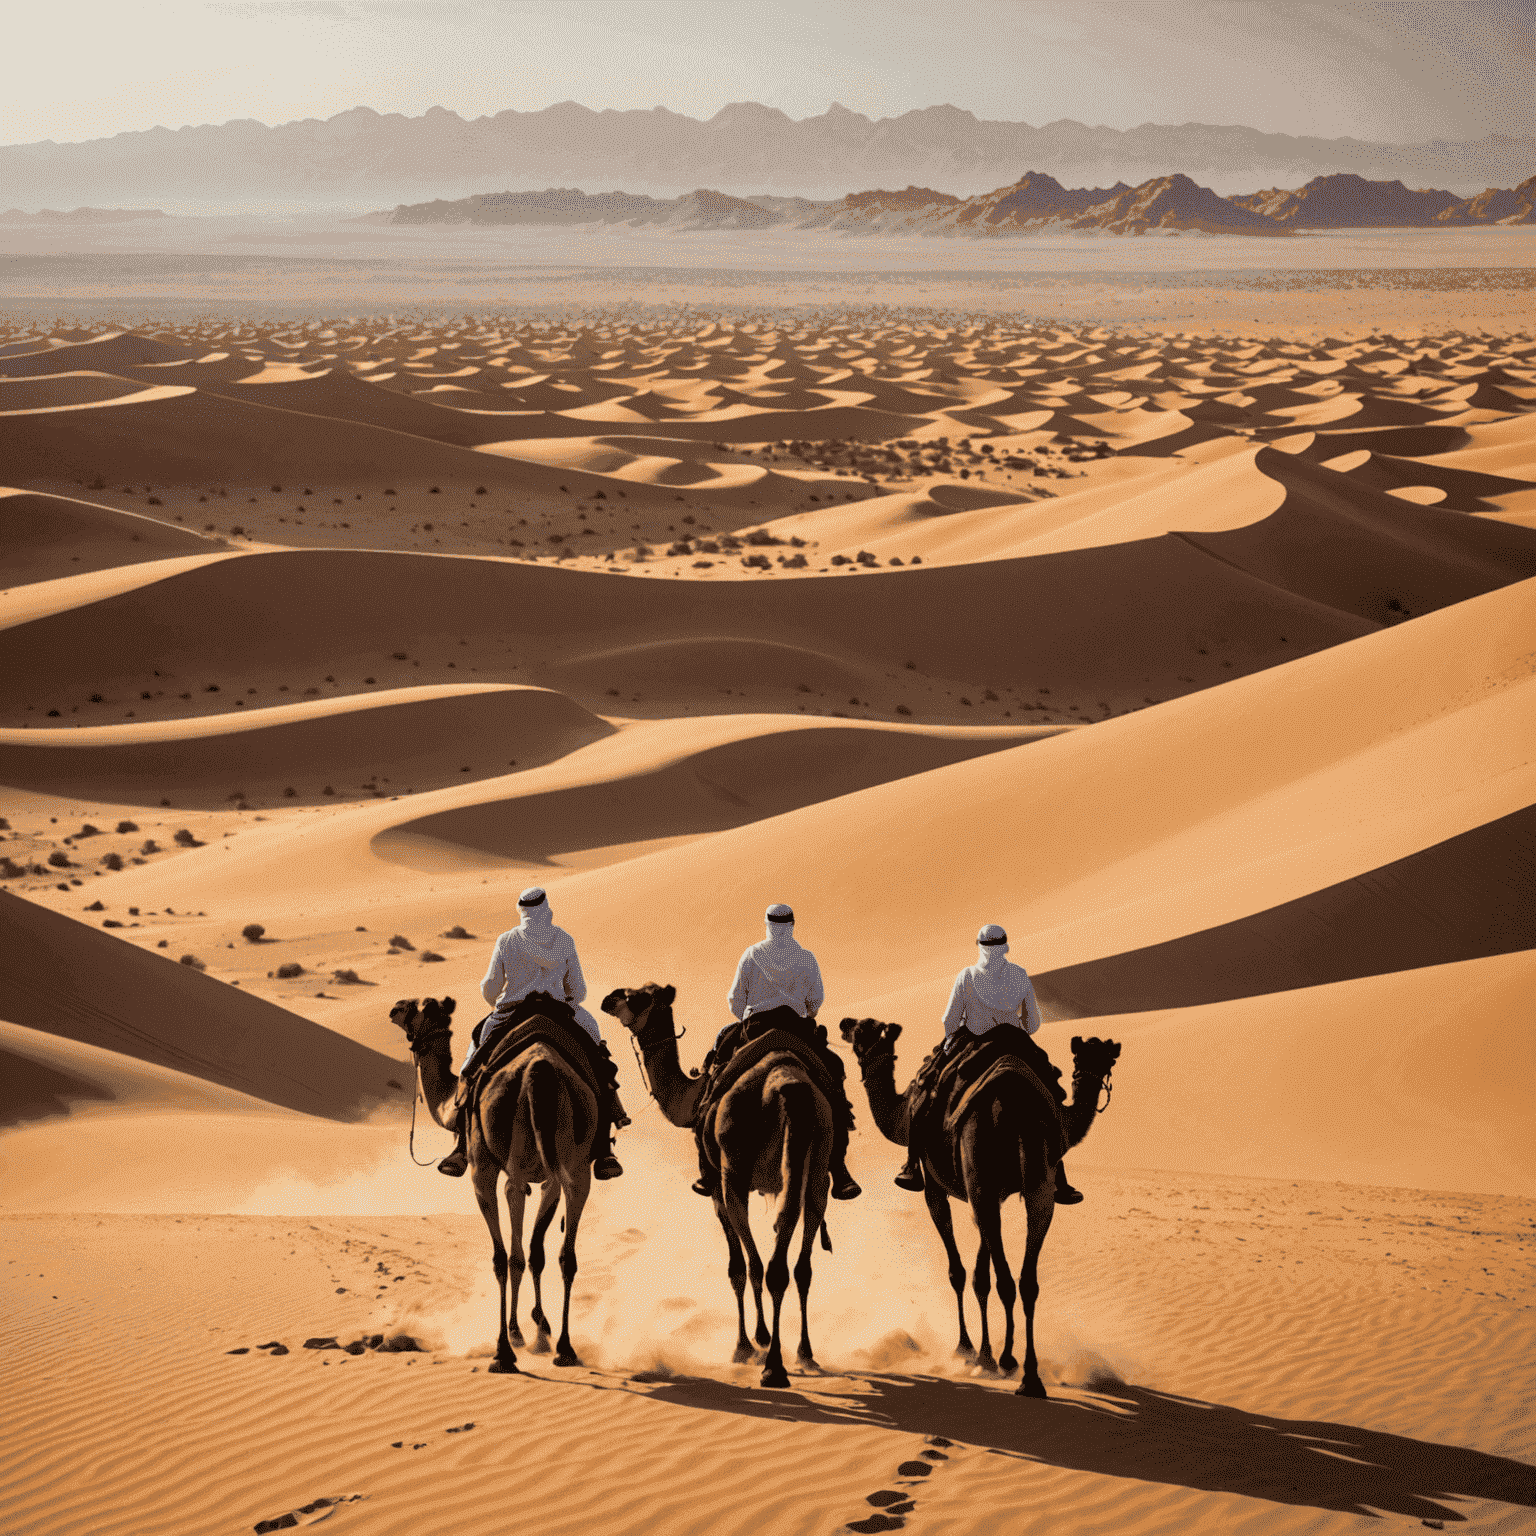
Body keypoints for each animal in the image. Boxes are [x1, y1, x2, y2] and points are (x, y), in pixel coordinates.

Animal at [393, 1001, 602, 1376]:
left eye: (416, 1007)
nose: (394, 1008)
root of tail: (538, 1069)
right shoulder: (549, 1179)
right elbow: (536, 1253)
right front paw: (540, 1330)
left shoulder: (486, 1170)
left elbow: (511, 1254)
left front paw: (519, 1334)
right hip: (577, 1165)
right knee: (566, 1254)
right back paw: (565, 1348)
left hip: (502, 1164)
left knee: (506, 1254)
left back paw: (504, 1351)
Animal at [602, 983, 841, 1394]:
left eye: (638, 996)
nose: (608, 999)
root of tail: (786, 1083)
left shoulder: (716, 1189)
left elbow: (736, 1268)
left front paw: (744, 1347)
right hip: (817, 1167)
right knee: (796, 1255)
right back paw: (802, 1355)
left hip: (734, 1172)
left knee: (758, 1264)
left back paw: (769, 1358)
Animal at [841, 1013, 1118, 1400]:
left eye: (862, 1034)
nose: (845, 1025)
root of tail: (1014, 1101)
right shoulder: (991, 1193)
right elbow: (980, 1273)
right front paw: (982, 1352)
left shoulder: (937, 1188)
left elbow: (960, 1272)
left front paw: (967, 1349)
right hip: (1034, 1182)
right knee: (1027, 1276)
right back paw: (1027, 1373)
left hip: (978, 1164)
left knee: (1005, 1279)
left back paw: (1007, 1362)